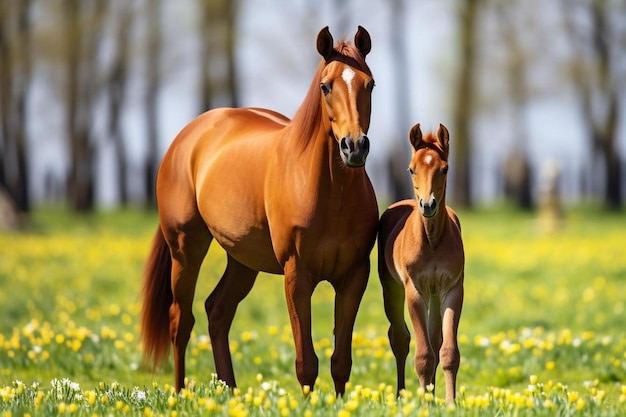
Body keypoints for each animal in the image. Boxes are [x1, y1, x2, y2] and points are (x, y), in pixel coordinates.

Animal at [141, 26, 376, 394]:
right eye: (326, 86)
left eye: (370, 84)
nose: (354, 147)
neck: (329, 191)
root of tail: (186, 137)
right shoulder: (297, 275)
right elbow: (306, 362)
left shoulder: (354, 276)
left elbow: (341, 361)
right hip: (185, 249)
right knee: (181, 320)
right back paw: (179, 393)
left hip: (242, 260)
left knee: (217, 312)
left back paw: (231, 392)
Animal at [376, 123, 464, 404]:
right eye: (411, 169)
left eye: (444, 168)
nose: (428, 205)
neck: (432, 239)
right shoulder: (413, 290)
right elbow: (423, 354)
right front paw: (426, 404)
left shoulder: (452, 289)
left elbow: (447, 351)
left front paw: (450, 402)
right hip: (391, 289)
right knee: (400, 338)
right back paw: (401, 394)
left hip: (434, 295)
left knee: (435, 340)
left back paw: (432, 393)